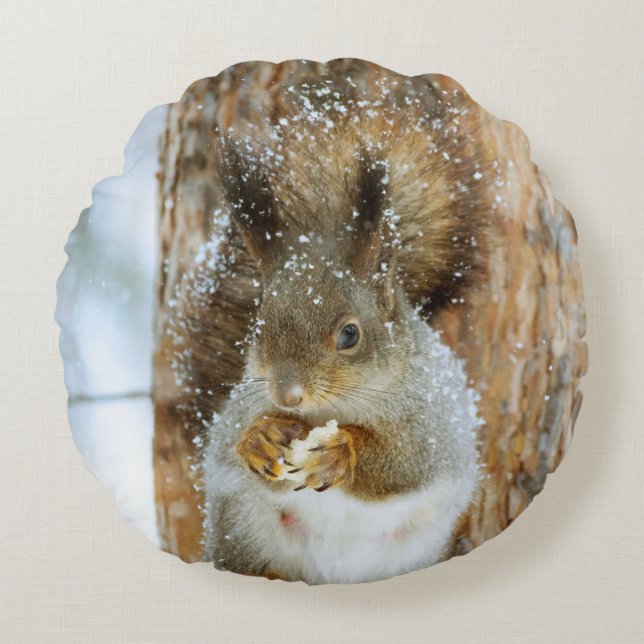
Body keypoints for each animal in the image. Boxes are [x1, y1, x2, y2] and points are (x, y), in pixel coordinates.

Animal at [201, 121, 486, 584]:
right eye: (258, 326)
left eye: (350, 335)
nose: (287, 396)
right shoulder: (241, 405)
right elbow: (228, 442)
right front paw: (259, 439)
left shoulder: (435, 421)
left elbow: (407, 461)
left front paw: (341, 452)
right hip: (243, 528)